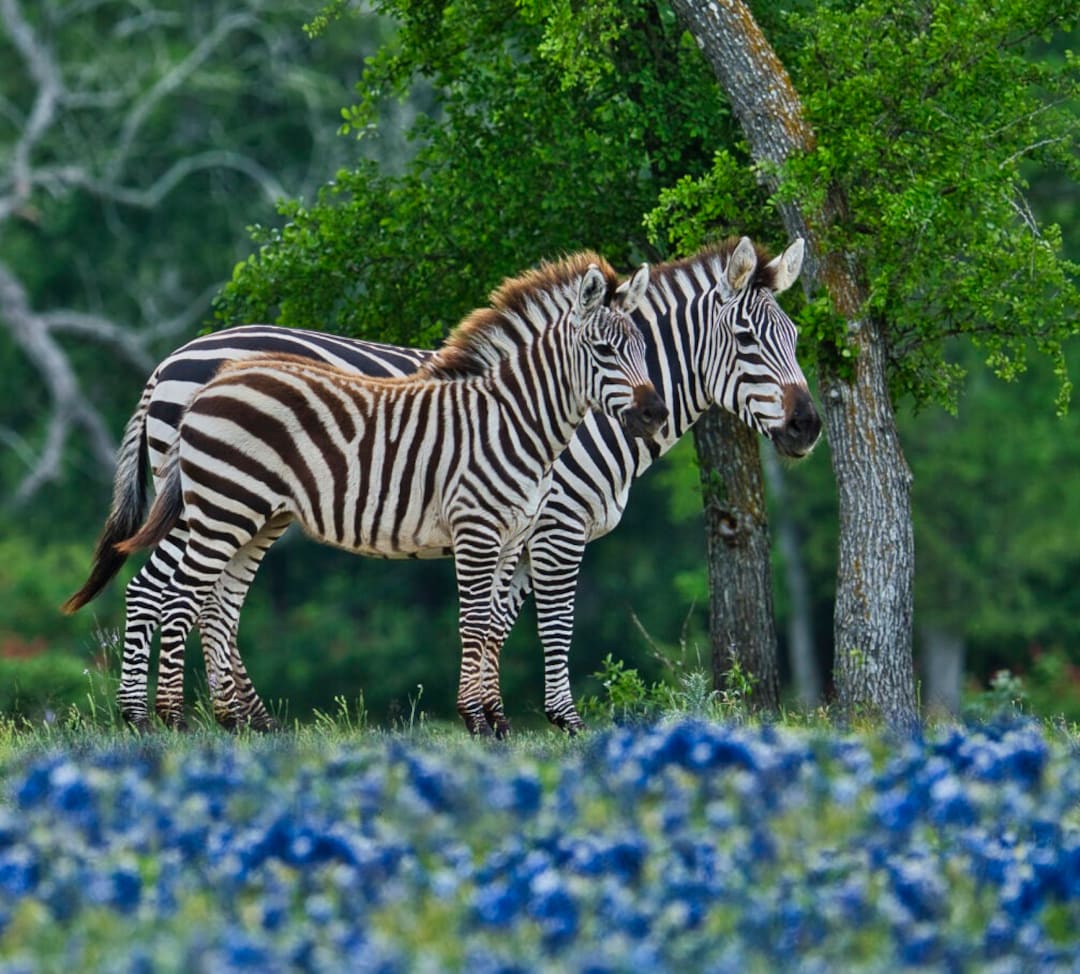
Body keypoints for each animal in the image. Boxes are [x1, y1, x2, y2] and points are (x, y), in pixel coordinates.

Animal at [66, 235, 820, 733]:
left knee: (216, 600)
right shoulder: (557, 523)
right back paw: (149, 719)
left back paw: (243, 718)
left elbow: (497, 620)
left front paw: (494, 715)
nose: (809, 426)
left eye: (795, 338)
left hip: (256, 511)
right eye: (749, 340)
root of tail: (172, 361)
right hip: (206, 501)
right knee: (160, 589)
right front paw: (561, 721)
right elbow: (551, 621)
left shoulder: (519, 527)